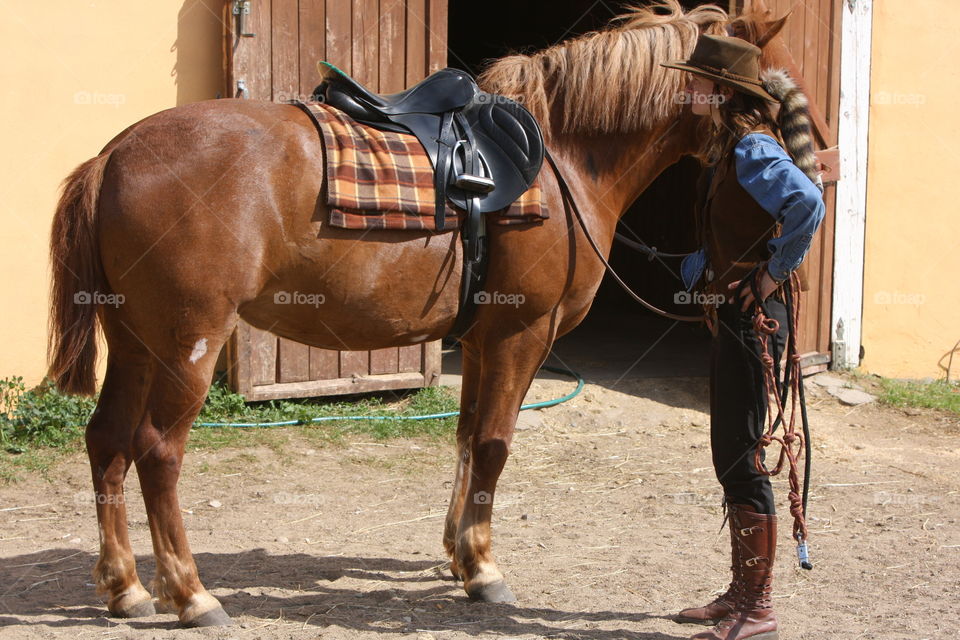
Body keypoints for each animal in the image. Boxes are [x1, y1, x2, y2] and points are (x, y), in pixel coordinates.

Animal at [47, 0, 792, 627]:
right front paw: (485, 570)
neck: (563, 157)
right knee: (156, 452)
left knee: (106, 442)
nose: (793, 183)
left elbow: (465, 440)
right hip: (188, 345)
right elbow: (493, 445)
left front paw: (459, 555)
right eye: (761, 99)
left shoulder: (483, 341)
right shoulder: (522, 335)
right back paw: (193, 595)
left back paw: (127, 588)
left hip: (135, 342)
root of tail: (112, 157)